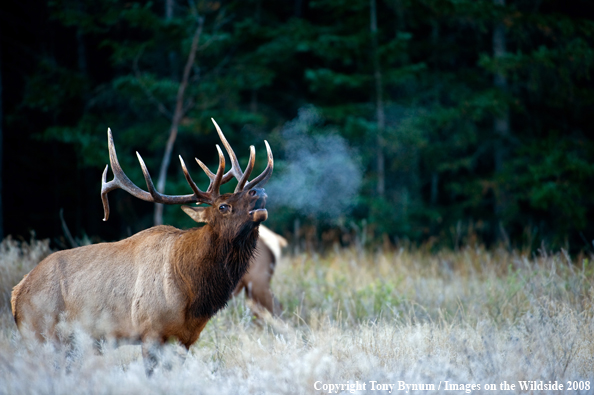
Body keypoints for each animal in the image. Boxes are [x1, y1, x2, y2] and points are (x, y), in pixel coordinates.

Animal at [9, 119, 272, 372]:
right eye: (223, 206)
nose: (259, 190)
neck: (193, 291)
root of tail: (16, 294)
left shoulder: (187, 338)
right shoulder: (151, 329)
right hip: (41, 333)